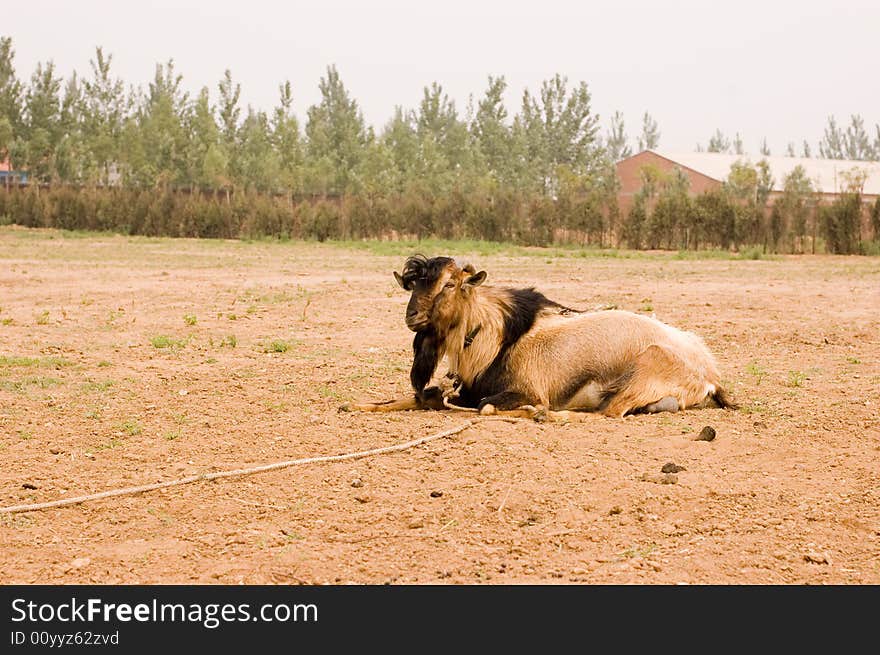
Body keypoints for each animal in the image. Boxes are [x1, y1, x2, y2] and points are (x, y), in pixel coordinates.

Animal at [344, 255, 736, 420]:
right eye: (413, 285)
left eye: (450, 284)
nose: (412, 317)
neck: (497, 337)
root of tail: (709, 375)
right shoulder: (459, 390)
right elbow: (419, 397)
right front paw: (356, 405)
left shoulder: (525, 389)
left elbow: (486, 407)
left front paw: (533, 410)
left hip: (643, 370)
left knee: (608, 413)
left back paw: (547, 416)